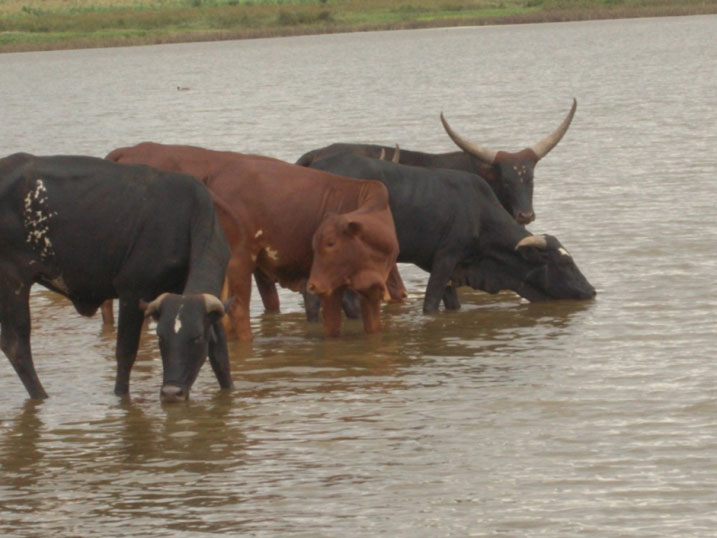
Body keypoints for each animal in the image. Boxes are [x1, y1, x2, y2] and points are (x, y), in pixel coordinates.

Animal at [0, 151, 232, 398]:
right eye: (160, 336)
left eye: (197, 337)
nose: (171, 392)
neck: (187, 216)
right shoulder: (133, 291)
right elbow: (125, 354)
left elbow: (220, 356)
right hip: (14, 281)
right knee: (16, 345)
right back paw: (41, 395)